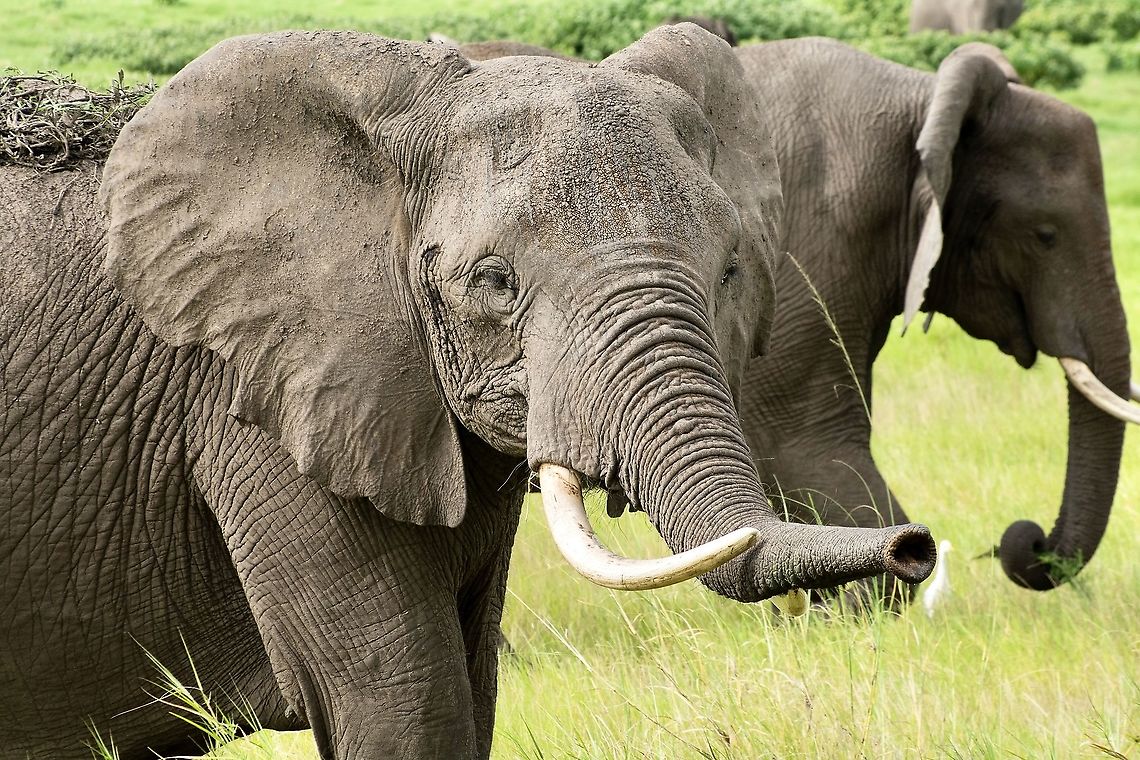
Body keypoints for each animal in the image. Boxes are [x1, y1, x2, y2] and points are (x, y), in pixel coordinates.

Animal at [0, 26, 935, 760]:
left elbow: (470, 688)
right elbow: (404, 698)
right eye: (493, 281)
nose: (912, 546)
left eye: (731, 270)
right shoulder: (255, 403)